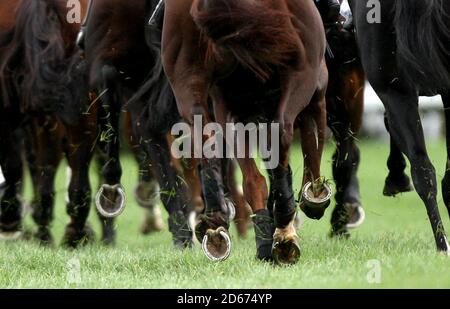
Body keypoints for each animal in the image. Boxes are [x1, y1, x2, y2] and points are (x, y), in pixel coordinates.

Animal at [163, 0, 332, 262]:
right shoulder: (316, 88)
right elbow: (312, 146)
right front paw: (314, 196)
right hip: (302, 73)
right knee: (283, 131)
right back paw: (283, 228)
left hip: (192, 85)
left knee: (235, 163)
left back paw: (221, 223)